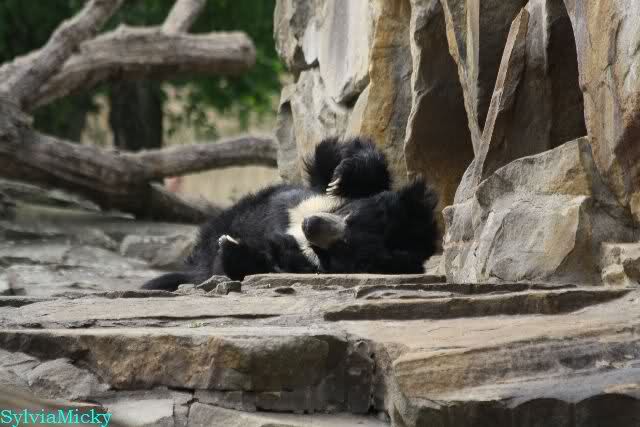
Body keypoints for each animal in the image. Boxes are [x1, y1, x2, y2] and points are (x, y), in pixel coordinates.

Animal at [141, 137, 440, 291]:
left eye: (341, 248)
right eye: (349, 214)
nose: (311, 224)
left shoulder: (299, 261)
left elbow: (261, 263)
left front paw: (231, 245)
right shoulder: (320, 195)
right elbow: (335, 161)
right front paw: (341, 175)